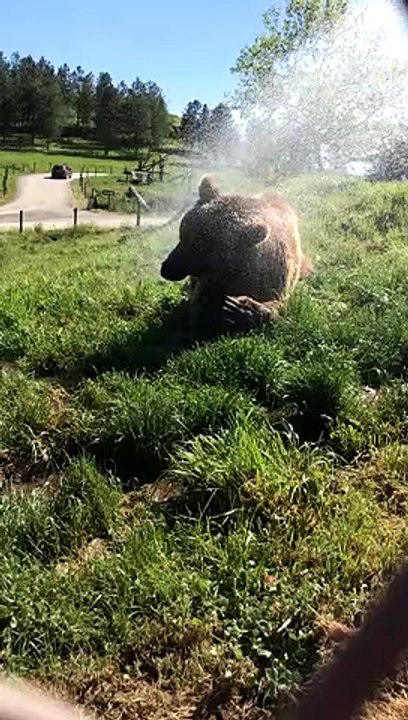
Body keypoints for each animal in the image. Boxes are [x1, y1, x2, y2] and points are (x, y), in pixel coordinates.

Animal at [160, 175, 312, 332]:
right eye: (183, 234)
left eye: (201, 247)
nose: (167, 269)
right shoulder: (213, 281)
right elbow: (201, 307)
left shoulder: (273, 276)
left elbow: (277, 303)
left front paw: (241, 308)